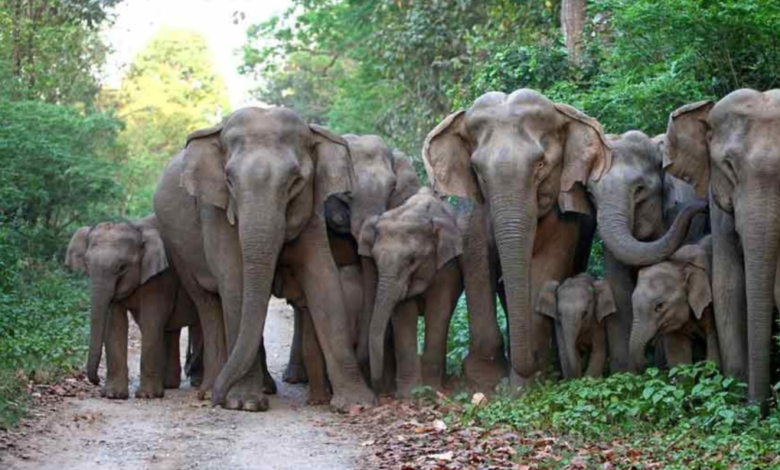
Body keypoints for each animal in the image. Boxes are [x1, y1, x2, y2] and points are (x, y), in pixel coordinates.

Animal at [65, 216, 200, 399]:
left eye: (122, 267)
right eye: (86, 263)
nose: (97, 382)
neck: (137, 228)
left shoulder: (161, 277)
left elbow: (152, 320)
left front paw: (147, 396)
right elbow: (115, 323)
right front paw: (113, 395)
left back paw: (196, 383)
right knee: (171, 330)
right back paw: (170, 385)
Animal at [153, 106, 374, 411]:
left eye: (295, 182)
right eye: (229, 180)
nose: (218, 401)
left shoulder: (312, 212)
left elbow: (323, 280)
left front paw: (357, 404)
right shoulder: (214, 211)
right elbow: (235, 282)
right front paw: (244, 403)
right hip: (177, 247)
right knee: (207, 303)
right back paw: (211, 390)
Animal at [358, 188, 464, 396]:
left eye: (412, 260)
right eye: (374, 259)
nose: (380, 391)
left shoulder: (448, 265)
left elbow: (438, 310)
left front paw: (431, 389)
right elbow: (403, 314)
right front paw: (409, 394)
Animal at [423, 89, 609, 390]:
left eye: (541, 165)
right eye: (477, 170)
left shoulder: (564, 216)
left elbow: (545, 266)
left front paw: (524, 385)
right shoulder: (475, 211)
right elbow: (477, 261)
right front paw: (485, 379)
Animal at [586, 131, 709, 373]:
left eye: (640, 189)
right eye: (592, 196)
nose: (705, 205)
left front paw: (660, 368)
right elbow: (619, 289)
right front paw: (624, 374)